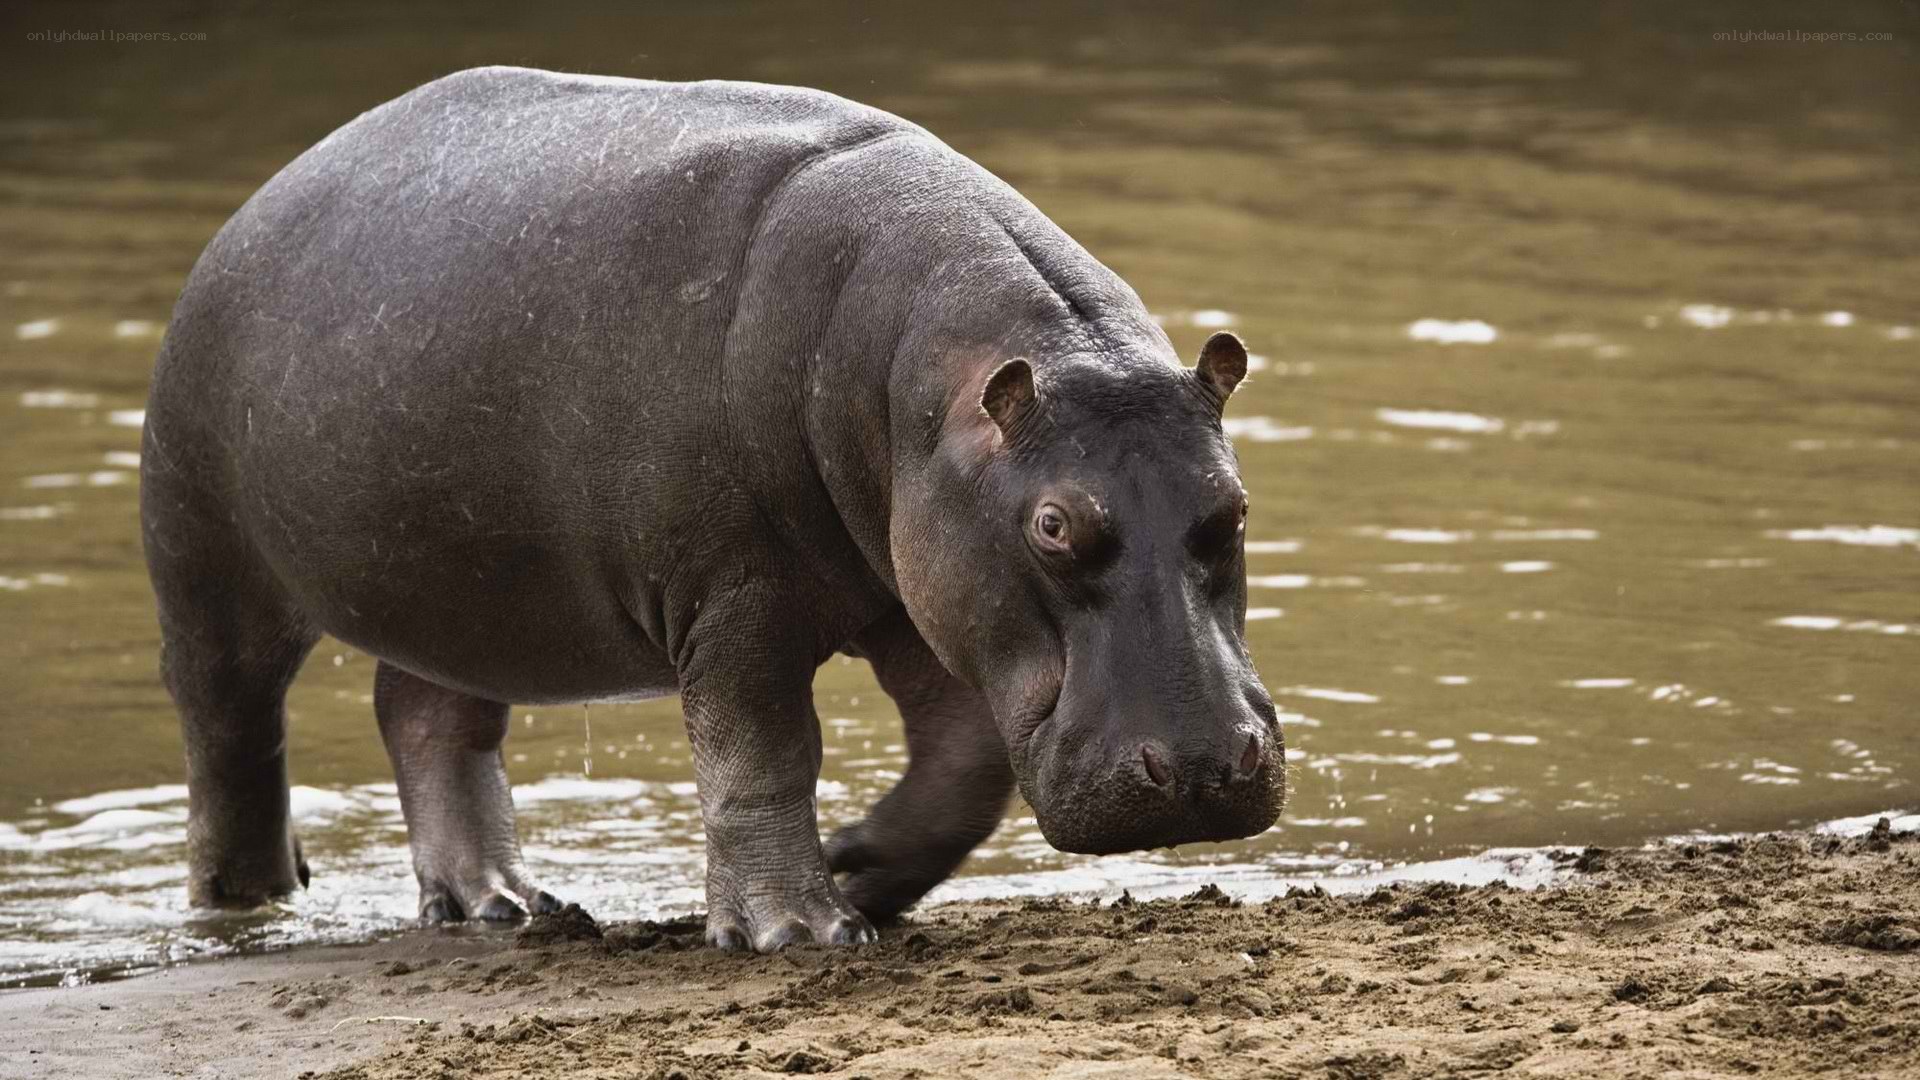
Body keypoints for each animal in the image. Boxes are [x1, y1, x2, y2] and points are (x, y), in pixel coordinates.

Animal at [141, 66, 1285, 952]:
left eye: (1232, 507)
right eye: (1053, 525)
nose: (1200, 769)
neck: (928, 387)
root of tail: (258, 203)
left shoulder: (919, 592)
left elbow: (964, 767)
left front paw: (856, 867)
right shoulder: (736, 599)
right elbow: (763, 754)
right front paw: (800, 932)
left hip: (457, 587)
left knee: (427, 717)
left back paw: (499, 905)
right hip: (207, 563)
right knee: (230, 740)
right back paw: (246, 905)